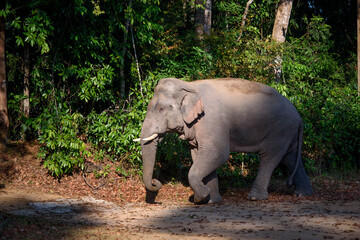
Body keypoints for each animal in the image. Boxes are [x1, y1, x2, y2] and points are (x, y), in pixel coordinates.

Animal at [134, 78, 312, 203]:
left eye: (161, 109)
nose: (156, 182)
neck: (189, 85)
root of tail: (299, 116)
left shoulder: (212, 120)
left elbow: (217, 154)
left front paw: (199, 197)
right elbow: (199, 154)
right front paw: (211, 200)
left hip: (280, 131)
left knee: (270, 158)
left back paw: (255, 197)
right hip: (288, 133)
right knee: (290, 158)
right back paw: (302, 194)